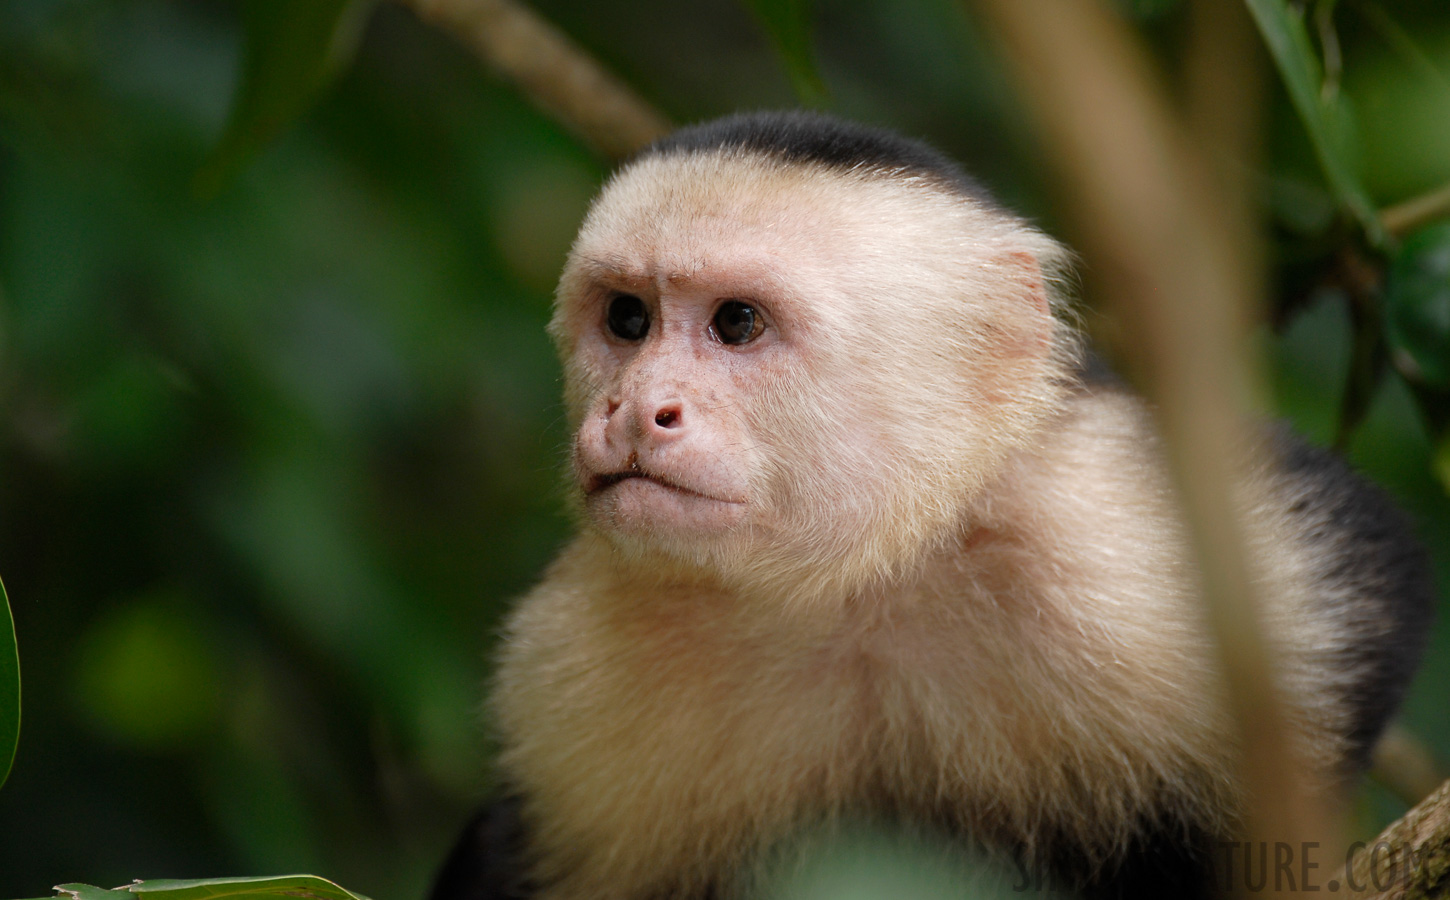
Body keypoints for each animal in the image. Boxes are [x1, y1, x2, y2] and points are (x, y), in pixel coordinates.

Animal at [423, 112, 1432, 898]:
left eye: (736, 322)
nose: (636, 409)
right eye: (627, 319)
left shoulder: (1101, 527)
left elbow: (1360, 604)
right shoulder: (577, 672)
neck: (861, 586)